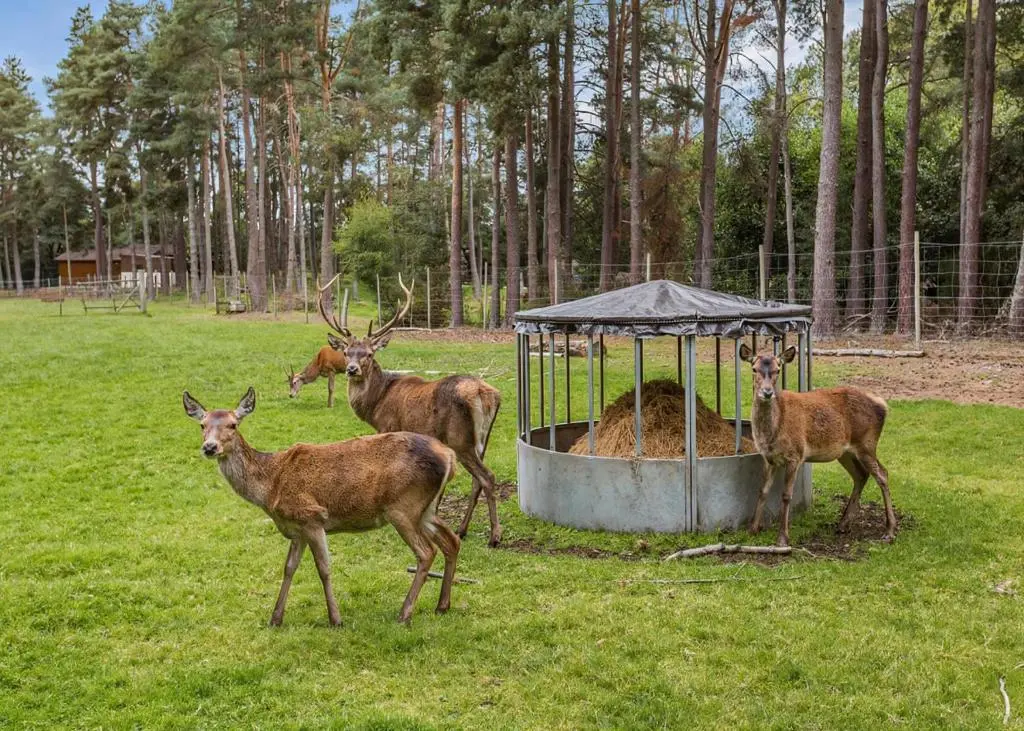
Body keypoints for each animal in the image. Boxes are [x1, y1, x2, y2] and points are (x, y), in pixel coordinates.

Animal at [182, 386, 461, 626]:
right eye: (202, 425)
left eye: (233, 424)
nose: (210, 447)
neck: (271, 486)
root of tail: (449, 456)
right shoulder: (296, 527)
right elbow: (289, 568)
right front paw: (275, 618)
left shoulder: (312, 517)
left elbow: (324, 569)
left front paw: (335, 619)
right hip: (426, 510)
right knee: (452, 541)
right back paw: (442, 606)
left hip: (402, 507)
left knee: (426, 552)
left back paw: (404, 613)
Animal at [318, 274, 505, 547]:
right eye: (345, 352)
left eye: (369, 354)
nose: (352, 369)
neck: (376, 403)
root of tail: (487, 394)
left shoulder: (388, 428)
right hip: (482, 439)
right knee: (477, 481)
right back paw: (462, 529)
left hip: (460, 439)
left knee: (487, 477)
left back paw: (494, 536)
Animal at [739, 344, 896, 547]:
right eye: (754, 368)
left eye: (778, 369)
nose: (767, 392)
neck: (772, 433)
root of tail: (884, 405)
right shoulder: (769, 458)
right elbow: (762, 491)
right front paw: (752, 529)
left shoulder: (795, 455)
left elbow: (786, 495)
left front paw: (782, 538)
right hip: (845, 452)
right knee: (861, 475)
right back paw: (843, 524)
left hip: (866, 443)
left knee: (882, 474)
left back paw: (890, 530)